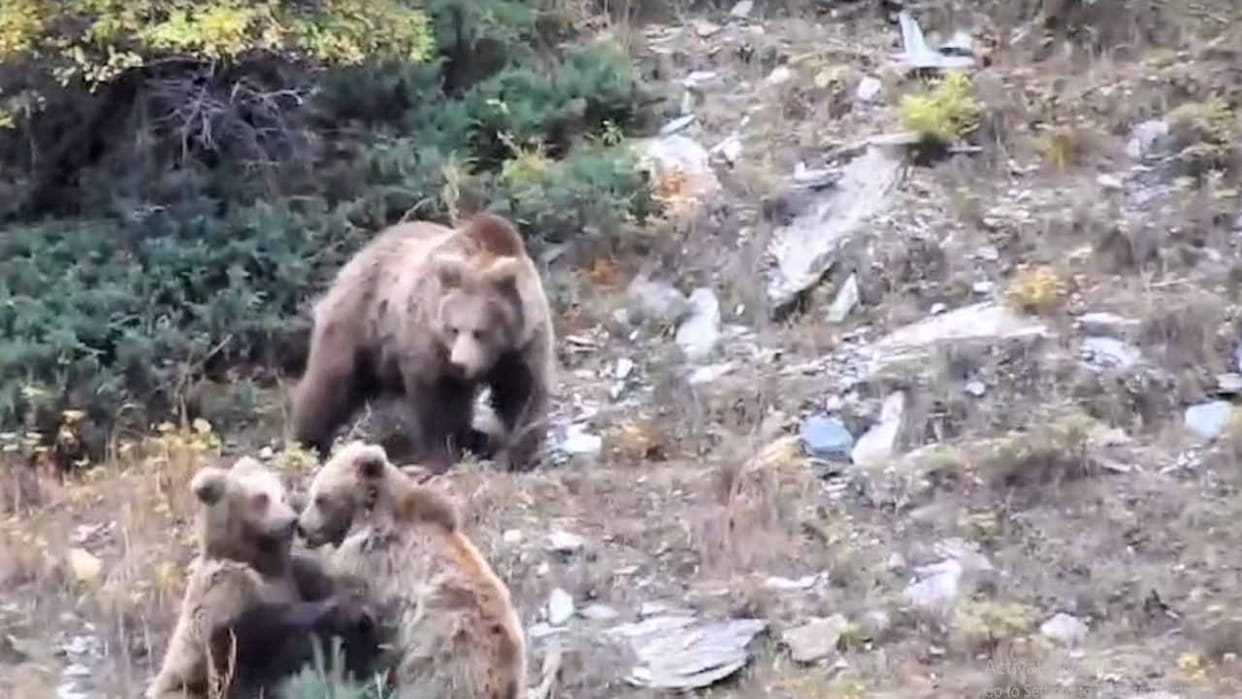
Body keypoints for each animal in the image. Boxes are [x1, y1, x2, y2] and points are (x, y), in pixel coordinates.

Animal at [146, 456, 384, 699]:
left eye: (282, 496)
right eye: (261, 498)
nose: (291, 520)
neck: (261, 562)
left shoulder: (300, 576)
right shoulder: (225, 589)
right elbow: (249, 630)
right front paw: (347, 609)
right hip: (183, 686)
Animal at [290, 211, 556, 473]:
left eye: (480, 332)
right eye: (454, 329)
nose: (460, 363)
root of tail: (362, 253)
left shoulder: (523, 344)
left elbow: (524, 392)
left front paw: (522, 454)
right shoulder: (430, 340)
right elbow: (437, 398)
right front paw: (445, 451)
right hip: (360, 324)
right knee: (331, 382)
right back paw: (309, 443)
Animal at [296, 441, 527, 699]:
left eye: (321, 498)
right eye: (313, 494)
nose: (302, 528)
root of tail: (506, 675)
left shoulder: (374, 562)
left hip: (444, 657)